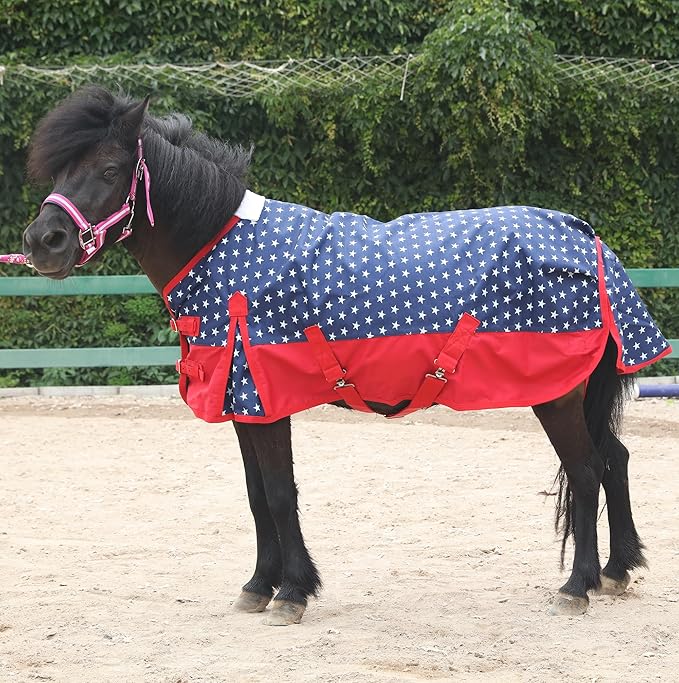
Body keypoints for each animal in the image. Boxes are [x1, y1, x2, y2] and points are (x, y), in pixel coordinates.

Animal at [20, 86, 670, 625]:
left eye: (109, 169)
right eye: (59, 168)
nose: (42, 241)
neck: (222, 250)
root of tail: (585, 237)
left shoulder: (266, 401)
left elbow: (279, 493)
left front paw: (291, 594)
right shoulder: (245, 407)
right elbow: (255, 496)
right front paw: (259, 586)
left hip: (557, 395)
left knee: (586, 472)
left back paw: (578, 587)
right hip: (578, 393)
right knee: (614, 460)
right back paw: (616, 571)